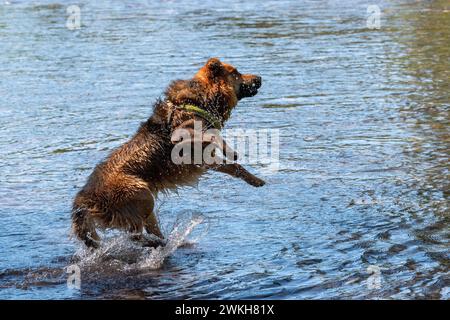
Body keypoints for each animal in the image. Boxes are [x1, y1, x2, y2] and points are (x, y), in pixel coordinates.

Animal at [72, 58, 266, 248]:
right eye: (236, 72)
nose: (260, 77)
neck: (197, 103)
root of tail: (84, 198)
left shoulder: (204, 156)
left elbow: (227, 157)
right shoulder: (191, 147)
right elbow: (225, 154)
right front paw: (251, 174)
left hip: (143, 205)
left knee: (145, 230)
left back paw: (164, 243)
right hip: (141, 194)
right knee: (134, 235)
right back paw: (155, 243)